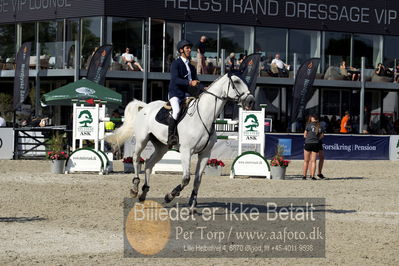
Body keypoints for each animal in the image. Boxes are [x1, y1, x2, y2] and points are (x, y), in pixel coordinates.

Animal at [107, 72, 253, 208]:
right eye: (236, 81)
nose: (251, 101)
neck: (204, 117)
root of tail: (146, 106)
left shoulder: (205, 154)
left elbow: (197, 180)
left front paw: (192, 204)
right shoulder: (186, 151)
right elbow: (186, 179)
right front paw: (169, 196)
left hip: (161, 147)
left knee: (148, 164)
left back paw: (143, 193)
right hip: (142, 140)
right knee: (136, 159)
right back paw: (135, 188)